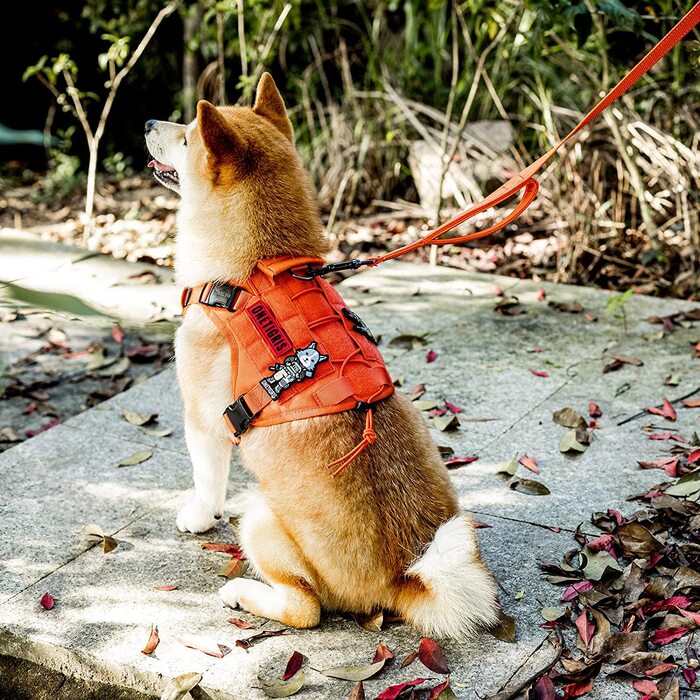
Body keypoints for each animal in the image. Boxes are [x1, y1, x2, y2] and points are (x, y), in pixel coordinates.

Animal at [145, 74, 500, 636]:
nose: (147, 122)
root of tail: (400, 578)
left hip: (263, 520)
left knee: (304, 609)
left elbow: (207, 480)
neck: (255, 268)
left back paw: (245, 593)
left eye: (184, 137)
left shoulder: (203, 418)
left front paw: (199, 516)